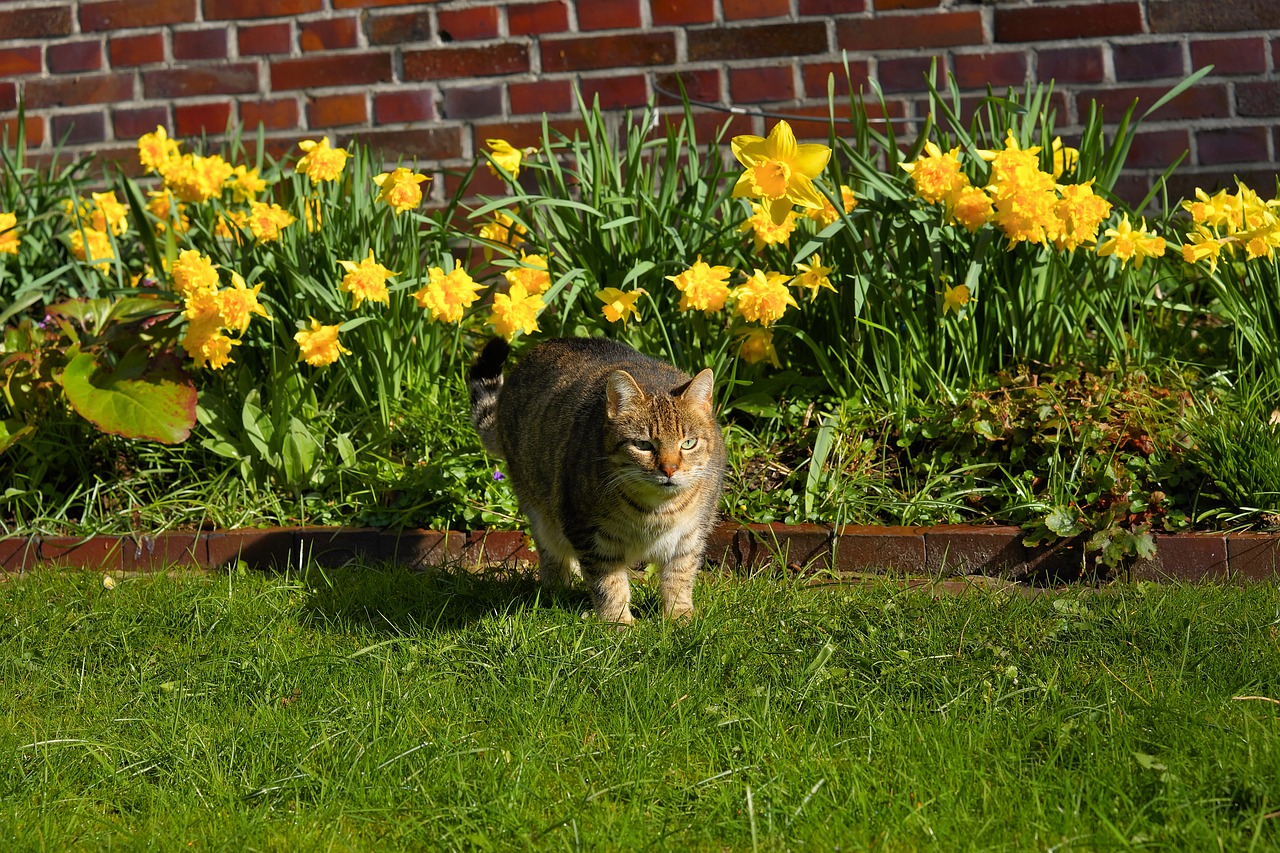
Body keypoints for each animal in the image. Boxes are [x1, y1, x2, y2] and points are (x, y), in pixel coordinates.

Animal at [473, 338, 732, 625]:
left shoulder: (690, 536)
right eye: (643, 445)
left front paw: (679, 617)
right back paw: (558, 587)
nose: (669, 469)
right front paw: (618, 622)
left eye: (688, 443)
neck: (656, 511)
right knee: (550, 550)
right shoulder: (590, 535)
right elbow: (609, 584)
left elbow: (679, 577)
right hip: (539, 509)